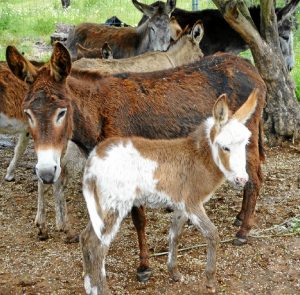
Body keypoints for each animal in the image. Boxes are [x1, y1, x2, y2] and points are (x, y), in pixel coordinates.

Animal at [80, 90, 258, 295]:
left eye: (245, 144)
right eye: (225, 147)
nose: (242, 180)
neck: (199, 157)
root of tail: (94, 159)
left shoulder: (181, 206)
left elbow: (174, 235)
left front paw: (174, 273)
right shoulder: (192, 203)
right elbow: (212, 234)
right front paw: (210, 280)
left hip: (101, 205)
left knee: (86, 238)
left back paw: (89, 286)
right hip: (115, 205)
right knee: (98, 246)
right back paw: (101, 289)